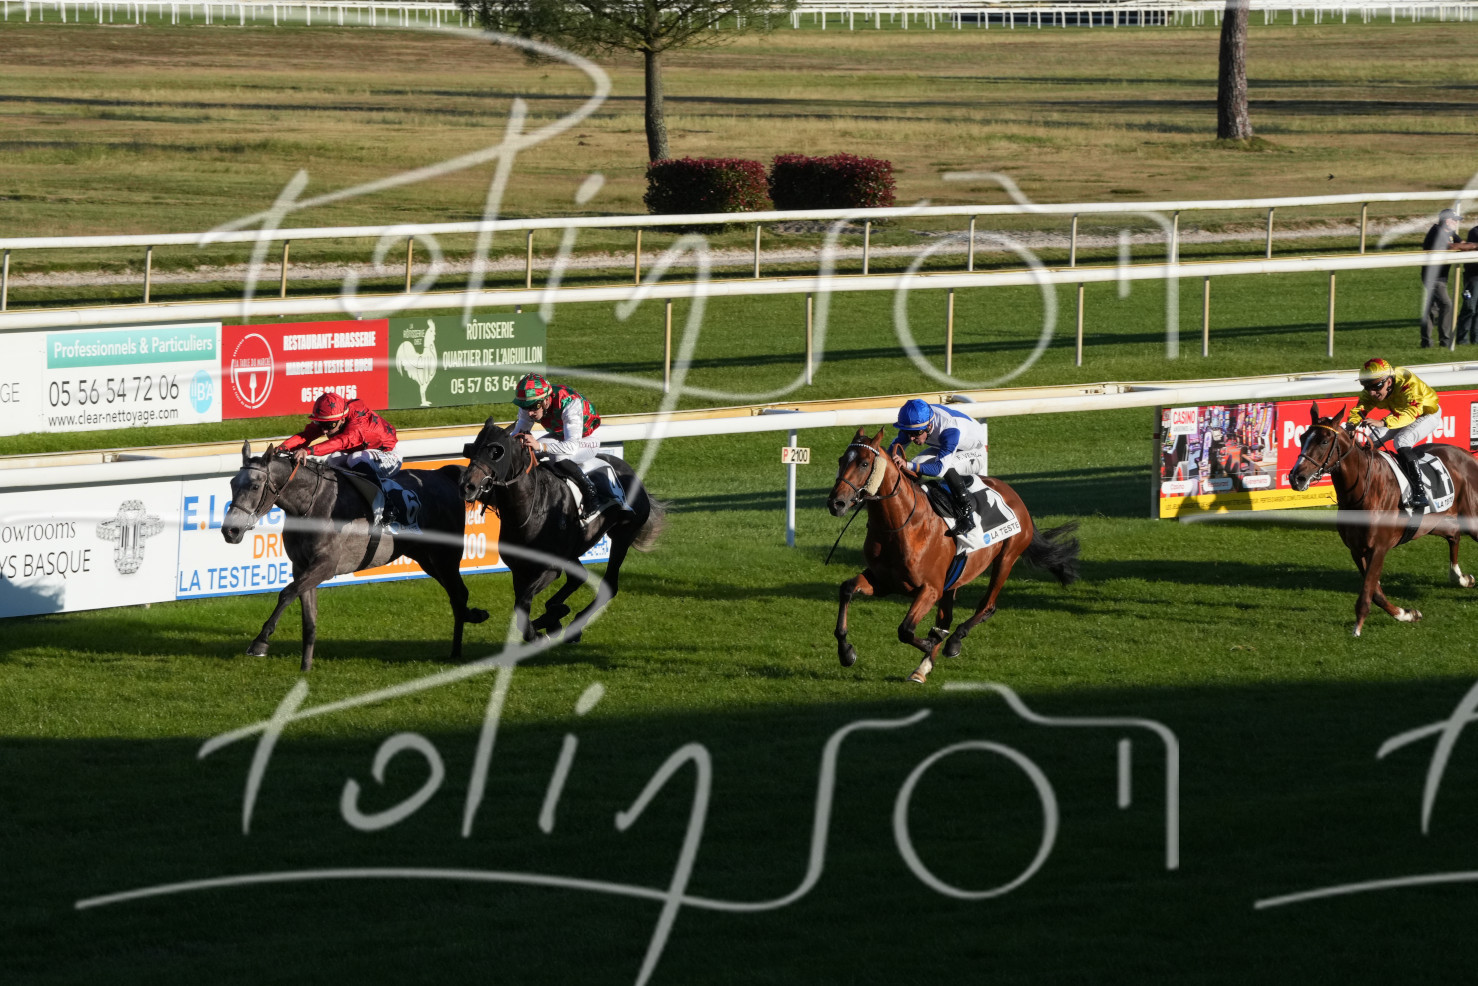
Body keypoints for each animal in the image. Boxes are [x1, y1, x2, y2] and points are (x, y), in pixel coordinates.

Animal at [221, 441, 489, 670]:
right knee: (457, 594)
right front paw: (305, 667)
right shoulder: (302, 566)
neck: (311, 505)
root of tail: (443, 474)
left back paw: (457, 649)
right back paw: (470, 621)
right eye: (233, 484)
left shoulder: (325, 565)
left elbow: (286, 593)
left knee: (458, 594)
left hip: (446, 556)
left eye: (255, 486)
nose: (230, 531)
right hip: (426, 558)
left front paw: (260, 642)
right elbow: (308, 619)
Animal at [458, 420, 665, 643]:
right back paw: (554, 614)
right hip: (573, 551)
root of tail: (633, 474)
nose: (467, 486)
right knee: (577, 578)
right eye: (471, 449)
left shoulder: (550, 568)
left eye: (496, 452)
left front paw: (539, 631)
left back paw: (573, 625)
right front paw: (547, 621)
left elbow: (522, 603)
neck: (531, 509)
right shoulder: (519, 569)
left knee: (609, 586)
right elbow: (521, 604)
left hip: (622, 536)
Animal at [826, 428, 1081, 683]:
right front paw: (846, 652)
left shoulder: (930, 588)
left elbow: (906, 630)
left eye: (864, 463)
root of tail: (1011, 493)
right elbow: (847, 589)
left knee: (987, 606)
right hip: (954, 579)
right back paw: (923, 667)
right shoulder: (884, 582)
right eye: (840, 460)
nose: (836, 503)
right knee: (947, 617)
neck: (900, 526)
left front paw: (932, 642)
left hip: (1006, 557)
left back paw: (953, 641)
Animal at [1287, 402, 1478, 636]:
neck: (1362, 491)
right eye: (1302, 437)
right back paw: (1460, 576)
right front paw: (1406, 614)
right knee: (1453, 535)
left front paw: (1357, 629)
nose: (1296, 477)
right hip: (1434, 522)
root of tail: (1469, 456)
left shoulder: (1379, 548)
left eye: (1323, 441)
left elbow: (1367, 592)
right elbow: (1375, 593)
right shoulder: (1356, 549)